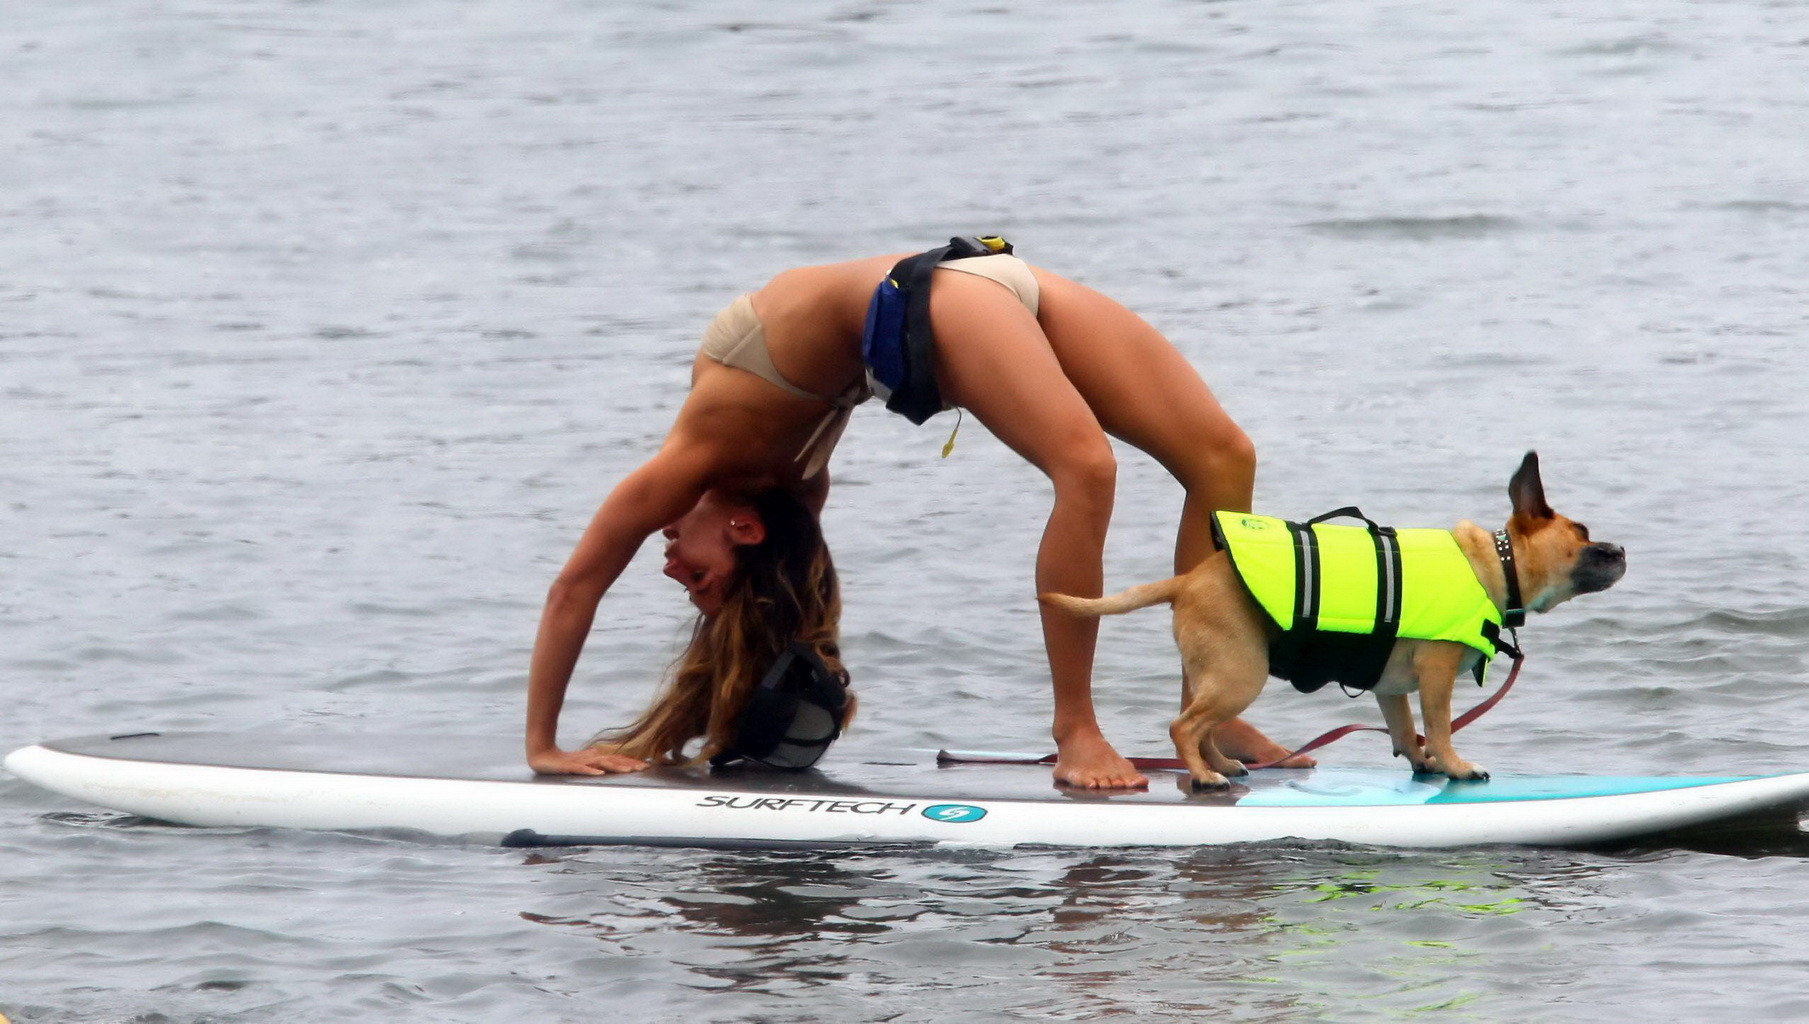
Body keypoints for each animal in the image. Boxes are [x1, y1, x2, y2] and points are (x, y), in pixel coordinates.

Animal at [1049, 454, 1628, 792]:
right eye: (1582, 532)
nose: (1622, 550)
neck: (1497, 563)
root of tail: (1186, 581)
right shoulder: (1437, 676)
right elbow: (1440, 726)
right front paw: (1456, 764)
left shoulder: (1391, 689)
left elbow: (1406, 729)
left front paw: (1424, 762)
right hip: (1240, 675)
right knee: (1183, 726)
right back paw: (1205, 775)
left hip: (1218, 675)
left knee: (1200, 724)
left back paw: (1222, 766)